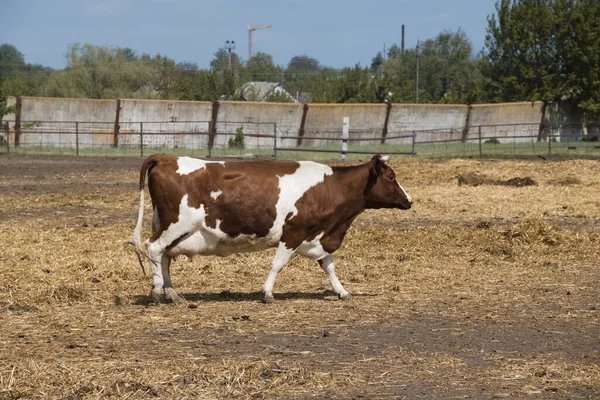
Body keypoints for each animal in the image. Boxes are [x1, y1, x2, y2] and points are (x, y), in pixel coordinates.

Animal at [132, 153, 412, 304]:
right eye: (391, 177)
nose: (409, 201)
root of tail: (166, 158)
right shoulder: (293, 232)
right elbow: (277, 264)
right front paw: (267, 292)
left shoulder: (317, 236)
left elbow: (329, 265)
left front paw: (342, 291)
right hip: (176, 224)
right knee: (154, 249)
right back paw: (157, 291)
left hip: (170, 227)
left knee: (165, 256)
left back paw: (172, 293)